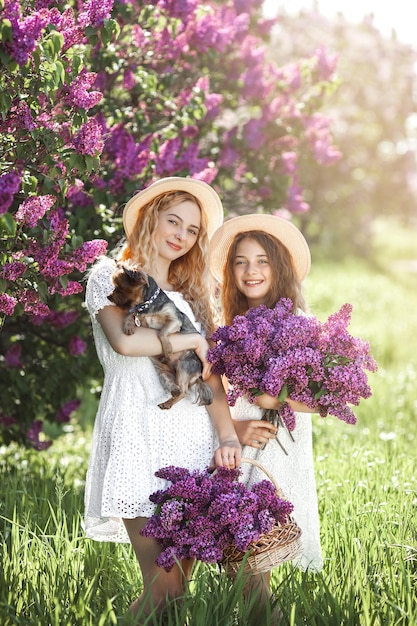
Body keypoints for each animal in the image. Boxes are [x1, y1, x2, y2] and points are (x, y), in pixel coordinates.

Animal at [107, 260, 213, 410]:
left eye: (120, 288)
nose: (108, 297)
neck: (146, 305)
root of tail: (196, 377)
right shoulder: (141, 318)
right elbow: (130, 314)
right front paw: (127, 326)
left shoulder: (174, 320)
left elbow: (162, 332)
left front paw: (167, 348)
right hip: (164, 374)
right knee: (175, 387)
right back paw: (170, 395)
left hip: (184, 366)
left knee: (184, 392)